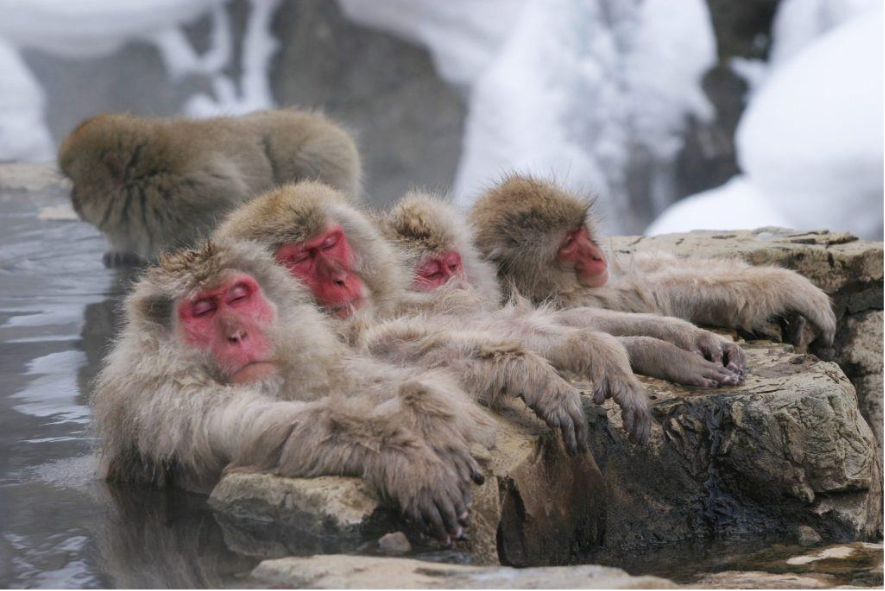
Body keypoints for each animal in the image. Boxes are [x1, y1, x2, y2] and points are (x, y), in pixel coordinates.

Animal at [58, 108, 361, 267]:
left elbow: (226, 198)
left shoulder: (196, 188)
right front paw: (121, 252)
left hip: (321, 153)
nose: (73, 201)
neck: (144, 180)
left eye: (76, 185)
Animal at [91, 238, 494, 544]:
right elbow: (253, 429)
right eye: (203, 310)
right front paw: (400, 455)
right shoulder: (161, 398)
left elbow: (362, 378)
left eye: (238, 298)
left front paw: (427, 414)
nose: (238, 335)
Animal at [468, 174, 838, 349]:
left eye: (579, 231)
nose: (595, 255)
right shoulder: (570, 297)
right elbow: (653, 292)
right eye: (568, 244)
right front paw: (787, 287)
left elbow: (644, 269)